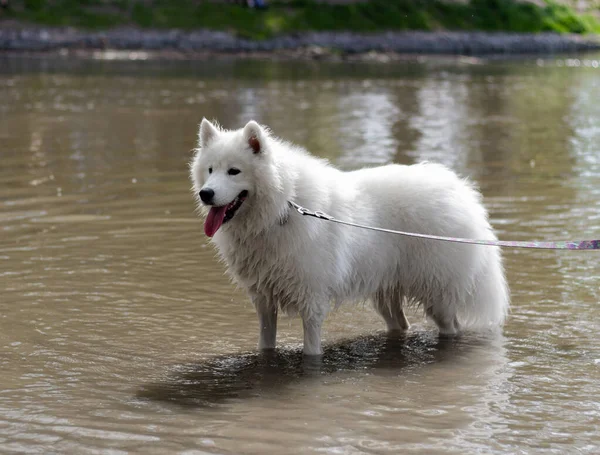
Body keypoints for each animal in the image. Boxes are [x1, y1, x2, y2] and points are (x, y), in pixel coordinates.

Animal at [190, 119, 508, 358]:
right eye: (210, 170)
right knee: (401, 323)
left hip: (438, 293)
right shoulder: (264, 299)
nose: (205, 194)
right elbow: (265, 345)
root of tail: (460, 190)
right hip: (388, 293)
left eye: (234, 171)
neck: (282, 208)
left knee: (452, 327)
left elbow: (311, 350)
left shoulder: (312, 300)